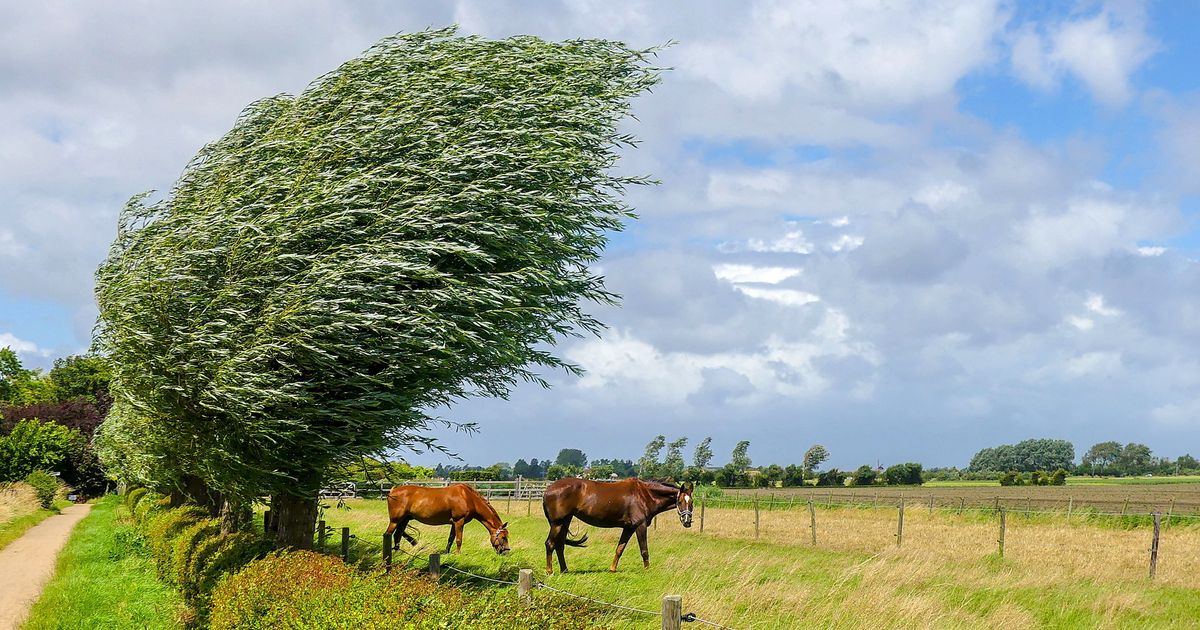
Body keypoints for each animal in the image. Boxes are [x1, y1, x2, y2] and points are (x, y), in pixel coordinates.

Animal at [544, 477, 696, 573]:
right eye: (680, 501)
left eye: (692, 502)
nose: (687, 521)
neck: (644, 494)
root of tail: (548, 490)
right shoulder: (640, 526)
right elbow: (644, 550)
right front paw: (647, 570)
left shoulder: (628, 528)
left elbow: (619, 549)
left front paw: (612, 569)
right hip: (557, 523)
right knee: (550, 544)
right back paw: (550, 571)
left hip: (565, 521)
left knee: (559, 545)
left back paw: (564, 570)